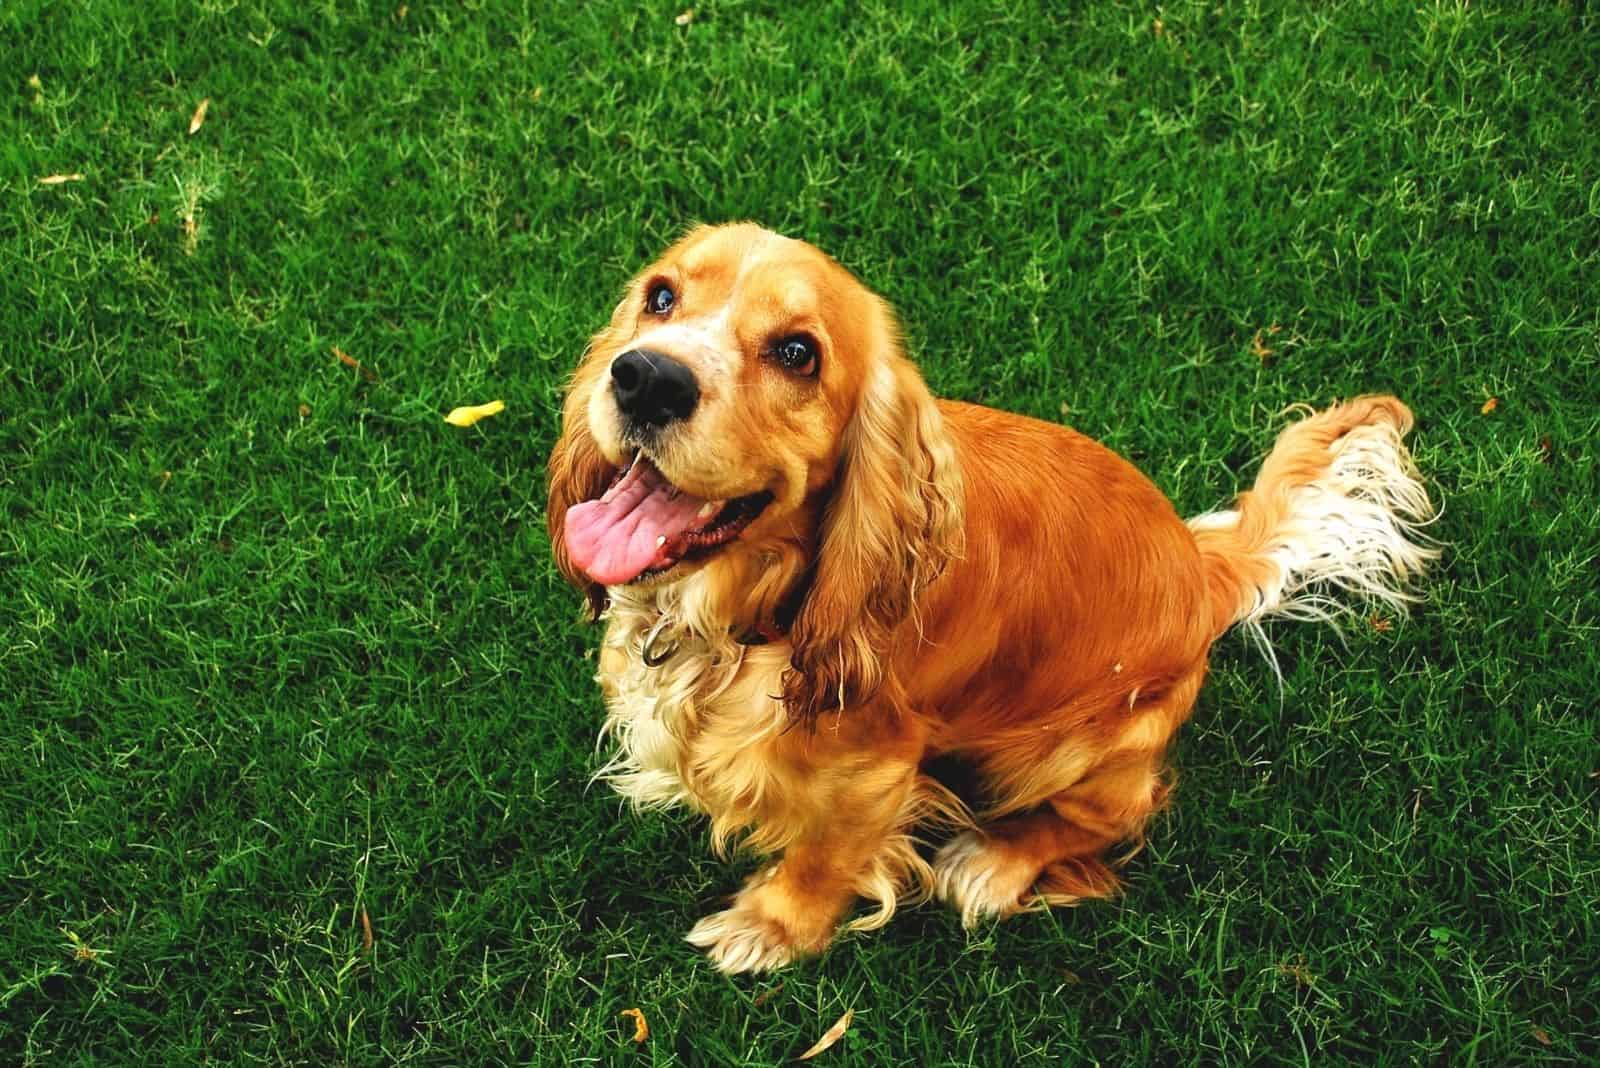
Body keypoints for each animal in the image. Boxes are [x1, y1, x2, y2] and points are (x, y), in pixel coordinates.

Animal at [547, 220, 1440, 972]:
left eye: (798, 352)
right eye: (661, 296)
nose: (645, 378)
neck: (748, 614)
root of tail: (1202, 565)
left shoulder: (874, 769)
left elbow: (824, 857)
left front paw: (771, 928)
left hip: (1071, 747)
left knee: (1116, 815)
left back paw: (996, 862)